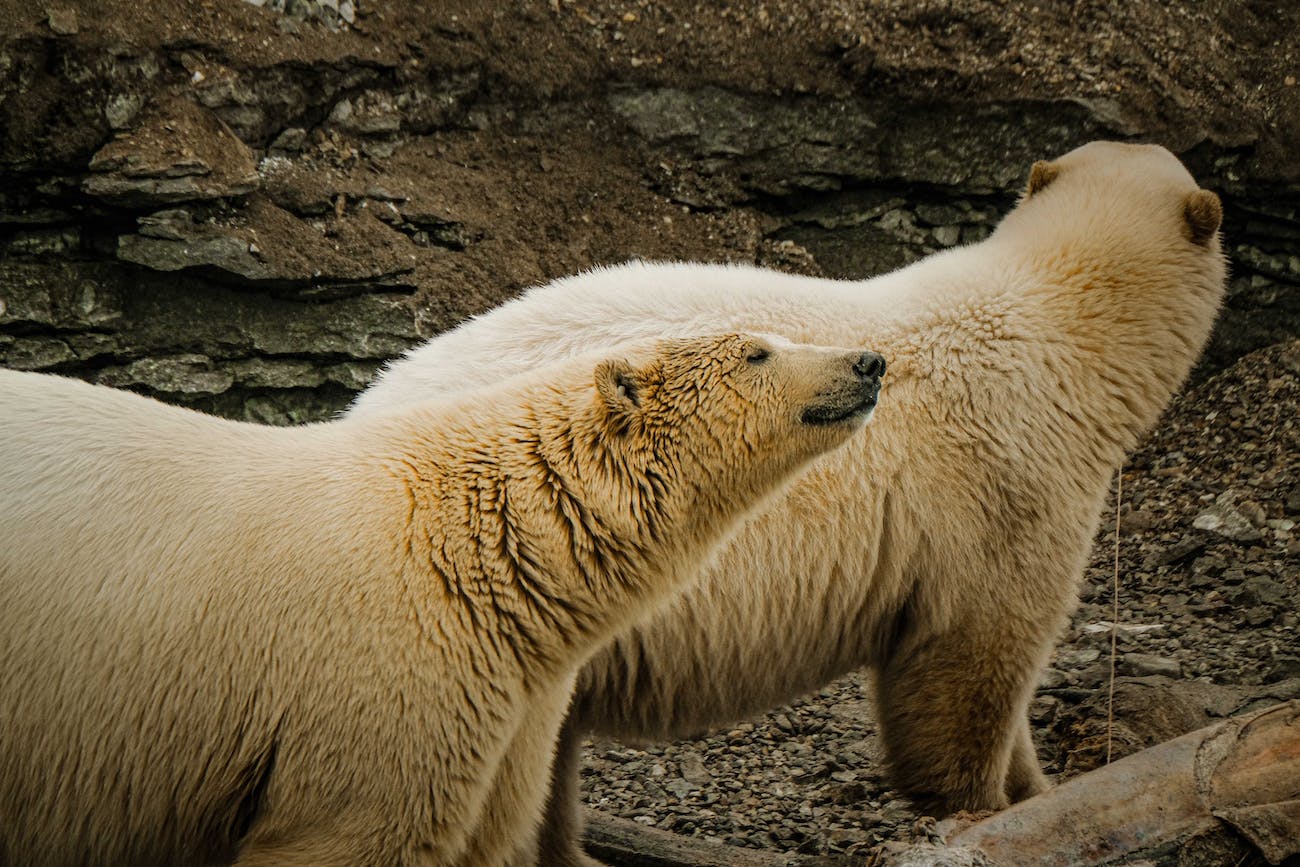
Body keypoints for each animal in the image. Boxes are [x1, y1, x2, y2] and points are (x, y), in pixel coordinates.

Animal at [0, 335, 883, 867]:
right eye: (758, 349)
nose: (868, 362)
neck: (482, 541)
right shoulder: (381, 679)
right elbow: (358, 830)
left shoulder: (511, 704)